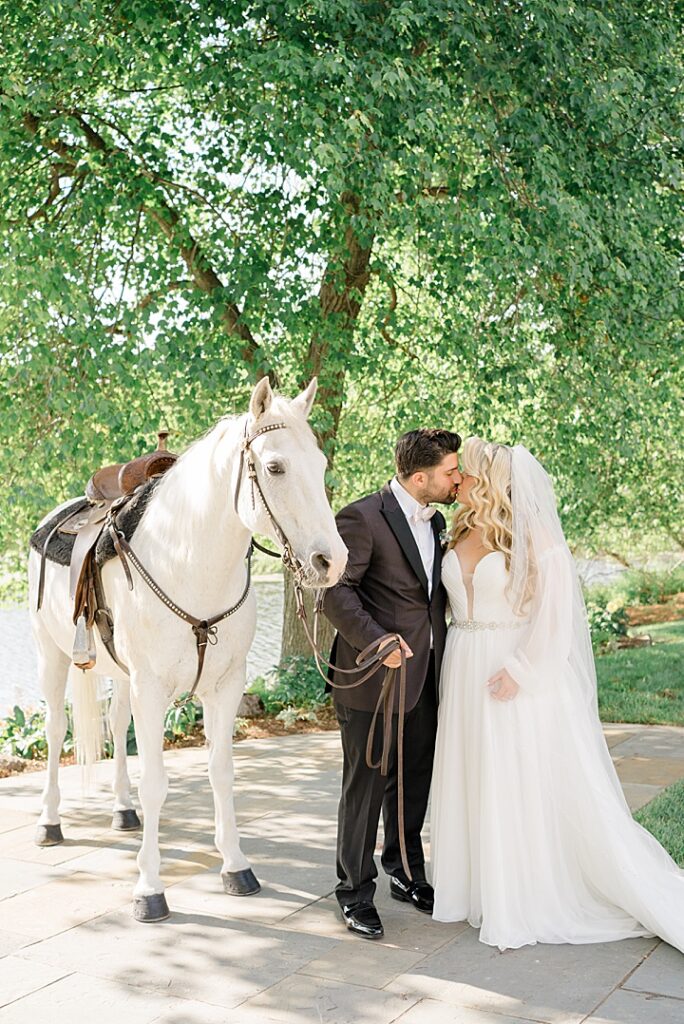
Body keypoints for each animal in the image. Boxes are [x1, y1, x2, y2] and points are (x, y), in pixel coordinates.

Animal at [26, 376, 348, 921]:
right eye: (275, 467)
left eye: (322, 465)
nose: (332, 561)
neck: (189, 560)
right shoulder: (153, 689)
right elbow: (157, 782)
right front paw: (149, 888)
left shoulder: (225, 686)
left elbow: (221, 772)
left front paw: (235, 866)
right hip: (52, 653)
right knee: (53, 730)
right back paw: (50, 822)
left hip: (121, 675)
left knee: (116, 723)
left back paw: (123, 811)